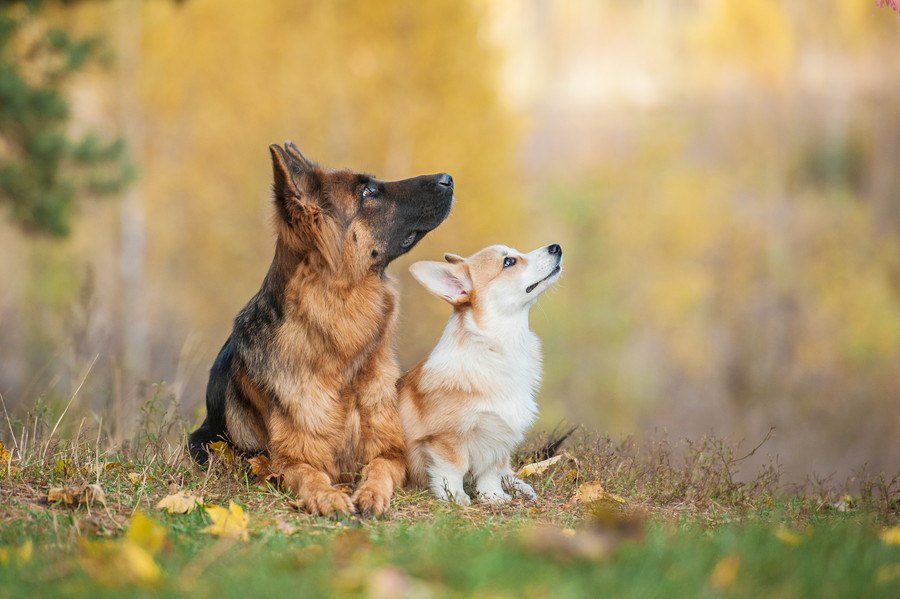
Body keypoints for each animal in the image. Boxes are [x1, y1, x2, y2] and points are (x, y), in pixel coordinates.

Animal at [191, 142, 458, 516]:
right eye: (368, 191)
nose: (448, 178)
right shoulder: (288, 462)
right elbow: (310, 475)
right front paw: (328, 496)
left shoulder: (391, 452)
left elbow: (379, 468)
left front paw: (370, 493)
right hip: (202, 442)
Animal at [400, 241, 564, 504]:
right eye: (509, 262)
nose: (556, 247)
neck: (499, 346)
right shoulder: (447, 437)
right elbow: (453, 468)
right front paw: (455, 496)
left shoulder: (498, 437)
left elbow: (491, 470)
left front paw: (493, 496)